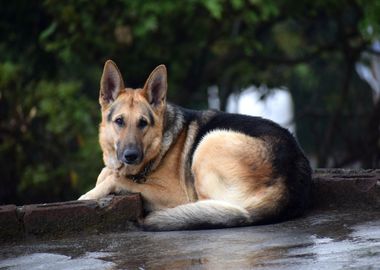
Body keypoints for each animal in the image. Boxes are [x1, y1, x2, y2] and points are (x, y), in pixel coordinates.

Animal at [78, 60, 312, 231]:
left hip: (209, 142)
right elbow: (107, 172)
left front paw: (88, 195)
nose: (130, 156)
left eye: (143, 123)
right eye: (119, 121)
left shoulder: (173, 193)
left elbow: (117, 179)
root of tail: (290, 184)